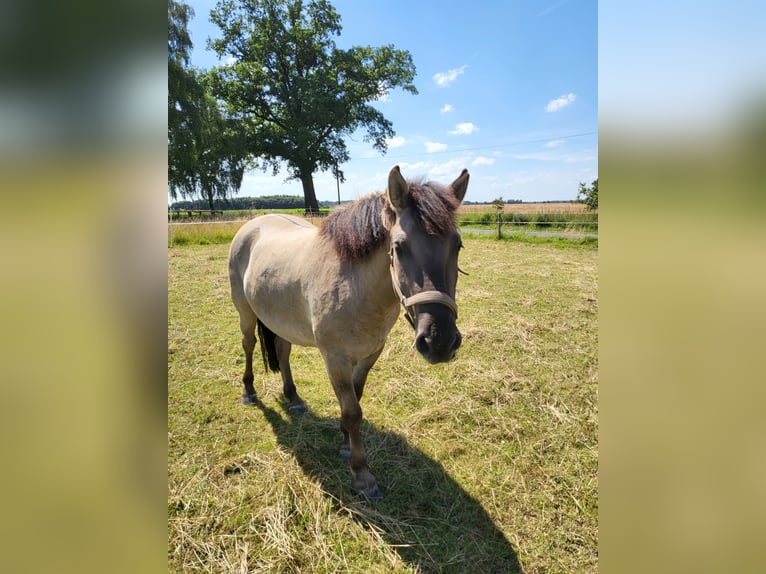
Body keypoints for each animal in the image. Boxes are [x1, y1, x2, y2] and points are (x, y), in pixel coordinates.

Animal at [228, 165, 468, 500]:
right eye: (399, 247)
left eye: (457, 245)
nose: (440, 341)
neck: (355, 285)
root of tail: (252, 225)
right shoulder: (335, 358)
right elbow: (353, 411)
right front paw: (362, 474)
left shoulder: (370, 353)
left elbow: (355, 398)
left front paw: (344, 444)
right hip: (246, 314)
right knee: (248, 345)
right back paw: (249, 392)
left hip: (280, 319)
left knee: (283, 352)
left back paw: (294, 398)